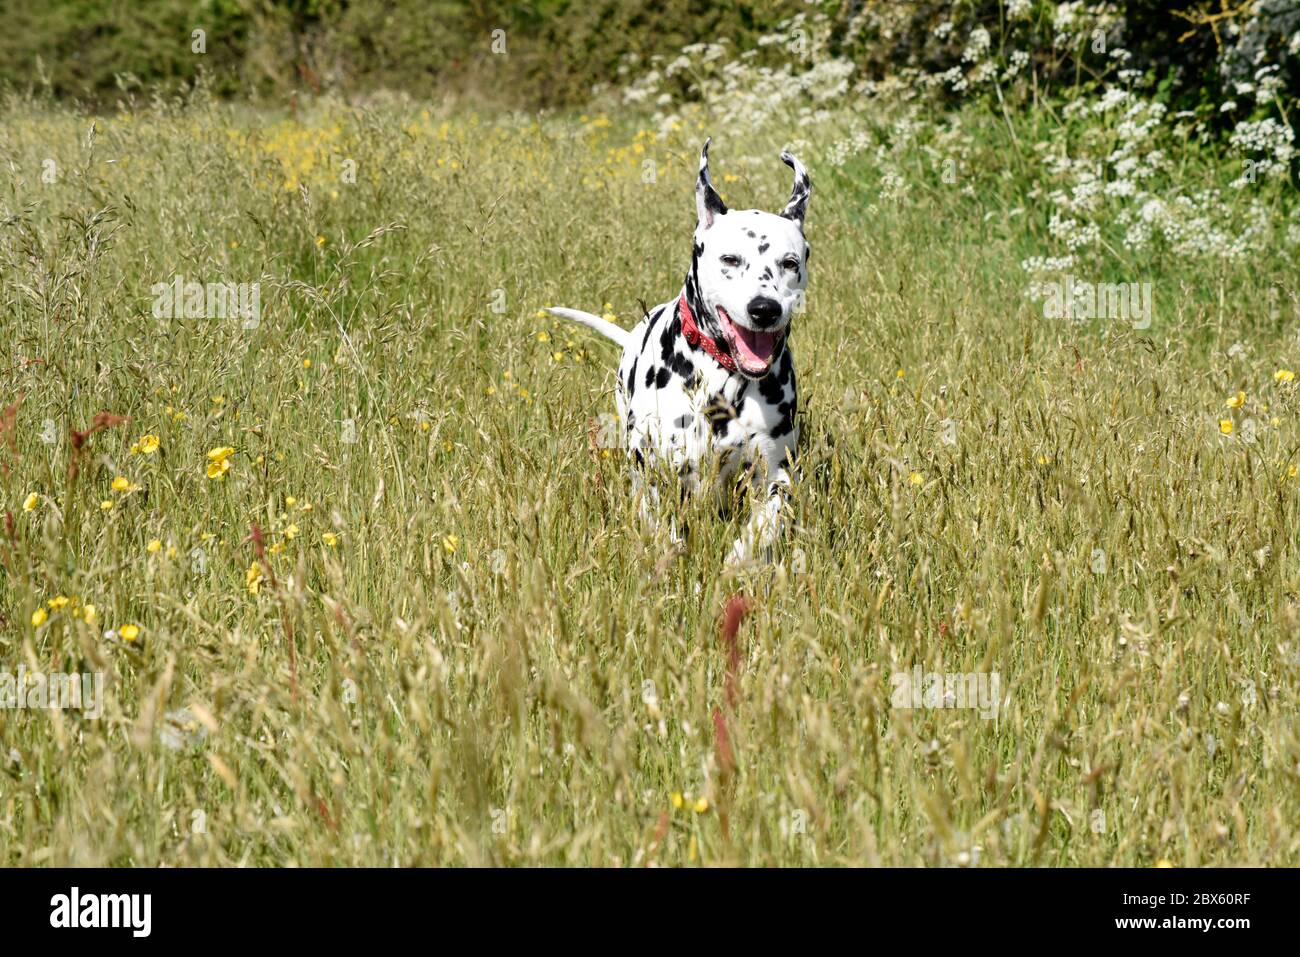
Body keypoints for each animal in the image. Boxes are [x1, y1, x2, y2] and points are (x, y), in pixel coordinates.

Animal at [548, 138, 811, 564]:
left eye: (789, 263)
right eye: (730, 259)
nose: (764, 308)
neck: (725, 381)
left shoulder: (775, 474)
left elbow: (762, 528)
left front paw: (738, 564)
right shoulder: (658, 473)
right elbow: (662, 526)